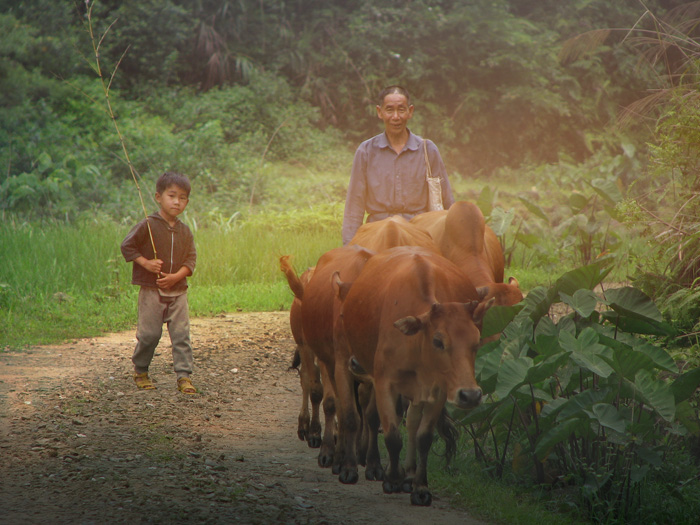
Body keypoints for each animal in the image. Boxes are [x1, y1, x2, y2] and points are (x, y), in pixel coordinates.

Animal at [334, 248, 490, 506]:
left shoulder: (438, 390)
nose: (470, 395)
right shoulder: (383, 383)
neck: (415, 341)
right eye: (438, 341)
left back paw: (408, 476)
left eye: (476, 342)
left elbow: (423, 438)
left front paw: (420, 487)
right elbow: (391, 436)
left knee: (413, 425)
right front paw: (391, 480)